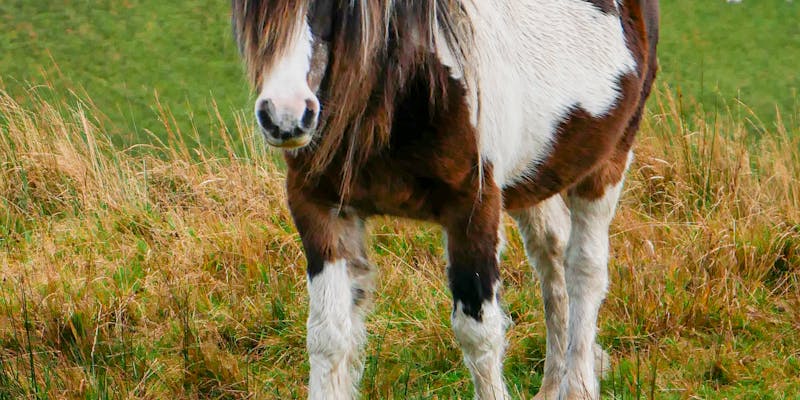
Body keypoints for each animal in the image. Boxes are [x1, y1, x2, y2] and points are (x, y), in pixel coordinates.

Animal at [231, 1, 659, 399]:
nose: (285, 117)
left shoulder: (473, 210)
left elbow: (478, 335)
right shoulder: (320, 208)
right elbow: (328, 335)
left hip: (607, 162)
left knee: (584, 271)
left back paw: (579, 385)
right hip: (536, 176)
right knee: (551, 259)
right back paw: (552, 385)